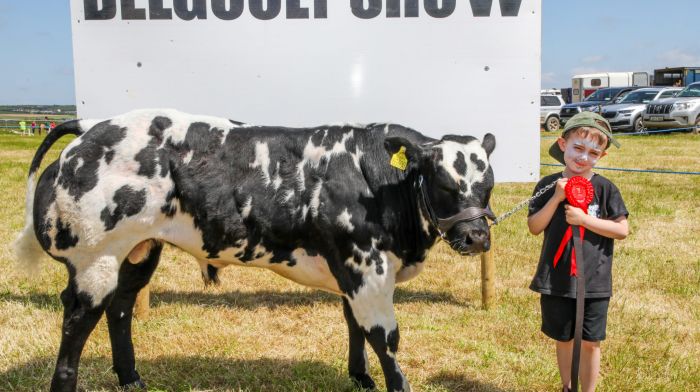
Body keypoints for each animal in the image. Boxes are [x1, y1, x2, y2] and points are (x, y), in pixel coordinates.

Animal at [13, 109, 494, 392]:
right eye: (444, 183)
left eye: (487, 184)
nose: (477, 237)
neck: (373, 181)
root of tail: (89, 127)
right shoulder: (368, 267)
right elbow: (384, 338)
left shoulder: (353, 268)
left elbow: (354, 326)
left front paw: (360, 378)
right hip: (96, 258)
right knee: (78, 320)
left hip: (139, 250)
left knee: (121, 307)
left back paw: (131, 378)